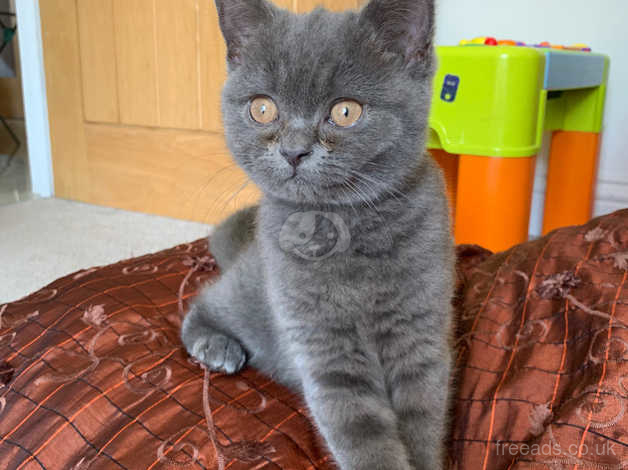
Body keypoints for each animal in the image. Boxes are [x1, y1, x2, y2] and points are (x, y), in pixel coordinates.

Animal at [179, 0, 454, 470]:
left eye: (345, 112)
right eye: (263, 109)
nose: (294, 150)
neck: (344, 227)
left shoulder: (420, 336)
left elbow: (422, 419)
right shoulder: (324, 347)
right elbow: (359, 432)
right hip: (246, 298)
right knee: (201, 303)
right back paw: (216, 345)